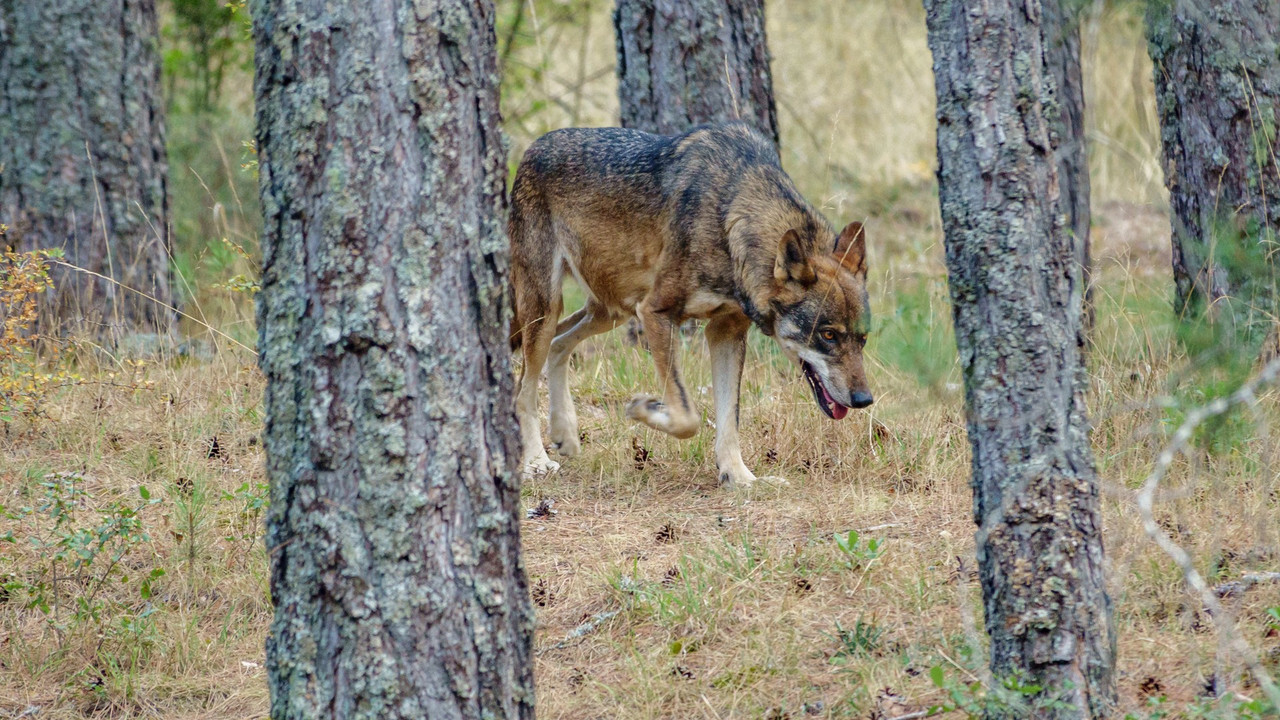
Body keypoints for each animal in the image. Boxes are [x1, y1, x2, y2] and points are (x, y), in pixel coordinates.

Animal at [506, 121, 870, 486]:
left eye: (862, 339)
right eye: (828, 335)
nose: (864, 400)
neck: (731, 218)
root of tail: (532, 149)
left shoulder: (726, 331)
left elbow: (729, 418)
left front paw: (740, 478)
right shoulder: (656, 313)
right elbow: (687, 417)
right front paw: (644, 408)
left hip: (611, 311)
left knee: (559, 344)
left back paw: (564, 432)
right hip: (549, 308)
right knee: (523, 386)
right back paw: (536, 461)